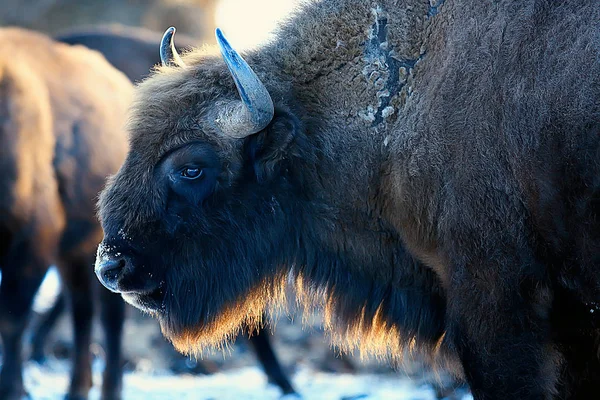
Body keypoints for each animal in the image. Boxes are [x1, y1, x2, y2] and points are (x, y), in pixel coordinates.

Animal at [0, 28, 132, 400]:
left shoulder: (33, 238)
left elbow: (12, 318)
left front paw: (12, 387)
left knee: (110, 317)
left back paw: (109, 388)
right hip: (74, 253)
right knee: (82, 310)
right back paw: (77, 387)